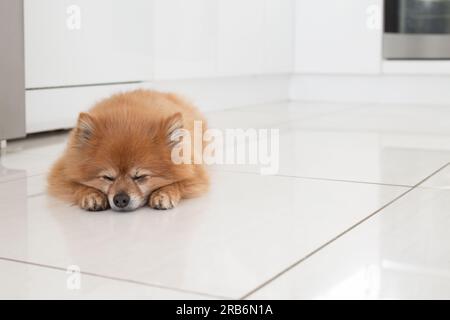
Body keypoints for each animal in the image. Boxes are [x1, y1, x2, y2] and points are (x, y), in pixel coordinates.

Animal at [48, 89, 210, 211]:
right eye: (108, 177)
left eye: (140, 176)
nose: (120, 199)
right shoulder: (62, 173)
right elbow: (77, 184)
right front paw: (91, 195)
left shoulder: (196, 173)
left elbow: (178, 182)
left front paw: (164, 193)